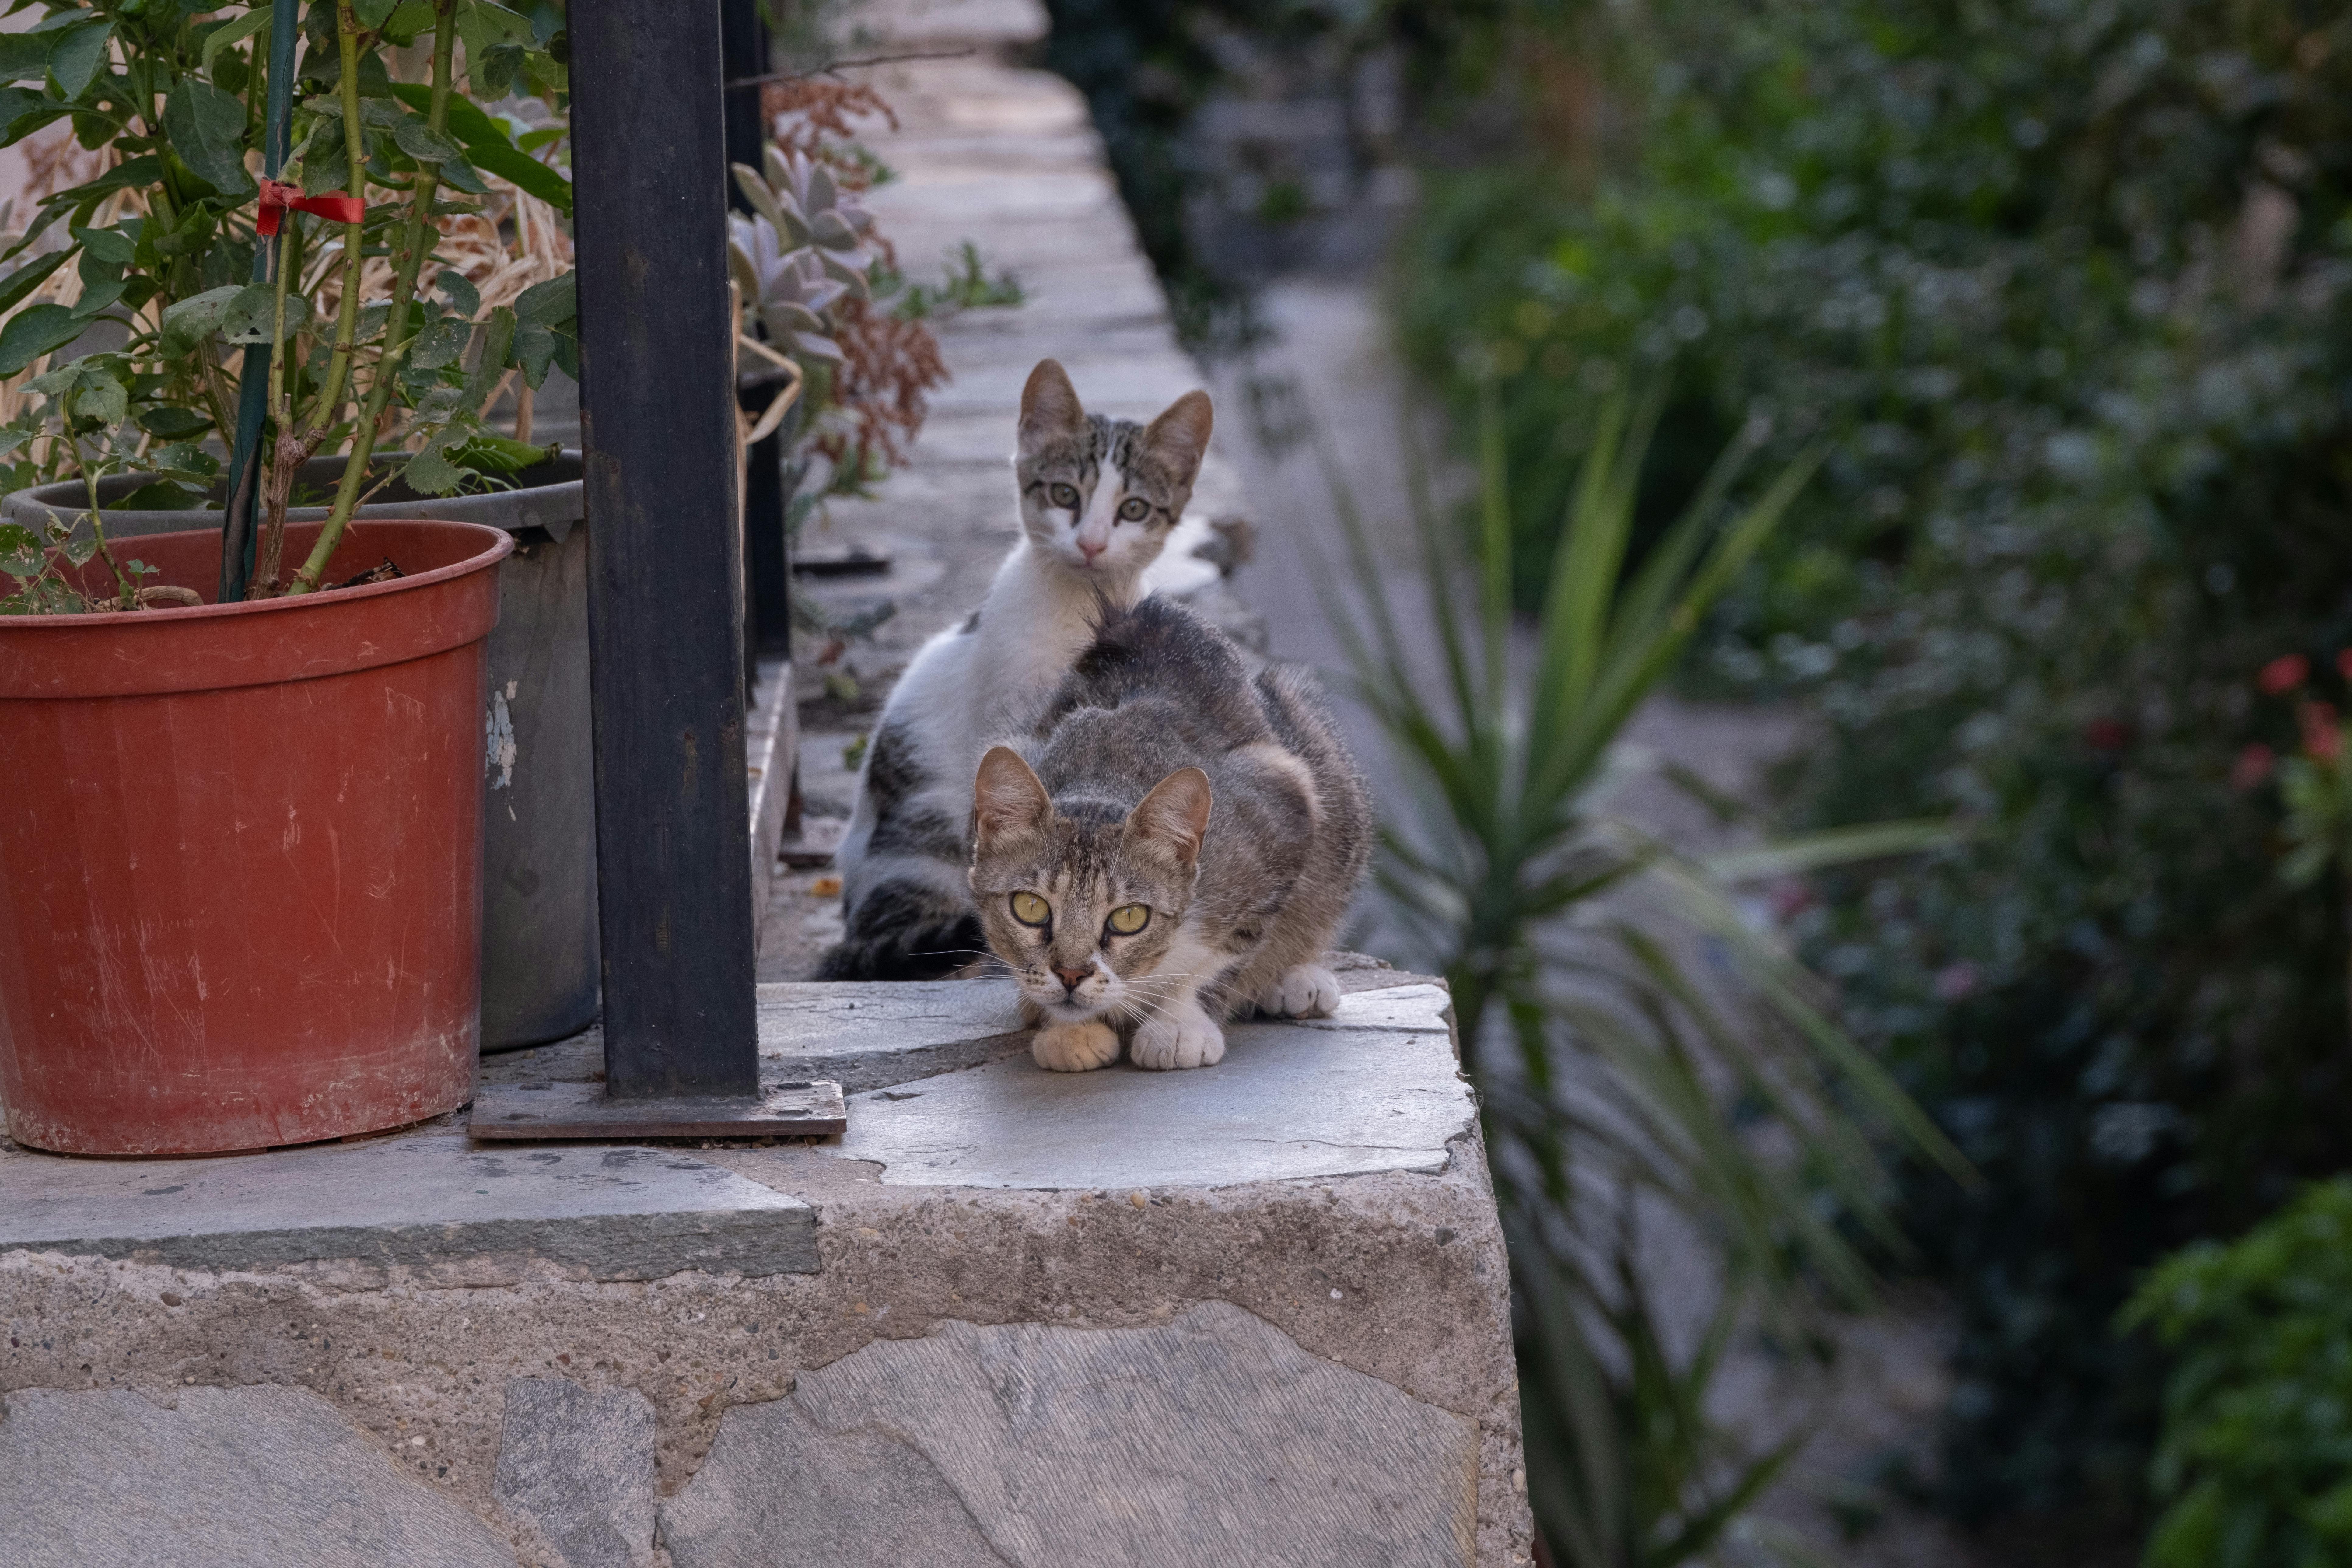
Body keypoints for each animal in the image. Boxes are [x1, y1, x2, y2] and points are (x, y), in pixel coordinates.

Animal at [964, 595, 1374, 1072]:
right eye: (1030, 907)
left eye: (1129, 917)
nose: (1071, 974)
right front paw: (1070, 1032)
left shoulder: (1282, 813)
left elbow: (1224, 955)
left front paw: (1179, 1025)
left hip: (1325, 770)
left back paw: (1298, 978)